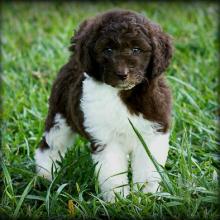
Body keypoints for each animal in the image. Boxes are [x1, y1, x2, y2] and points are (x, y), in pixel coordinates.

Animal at [34, 10, 173, 203]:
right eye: (108, 50)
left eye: (136, 50)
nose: (122, 74)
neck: (123, 95)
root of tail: (73, 60)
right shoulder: (107, 141)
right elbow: (113, 174)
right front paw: (118, 201)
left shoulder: (153, 132)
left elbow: (148, 170)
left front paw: (146, 197)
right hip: (59, 117)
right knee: (50, 146)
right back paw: (45, 176)